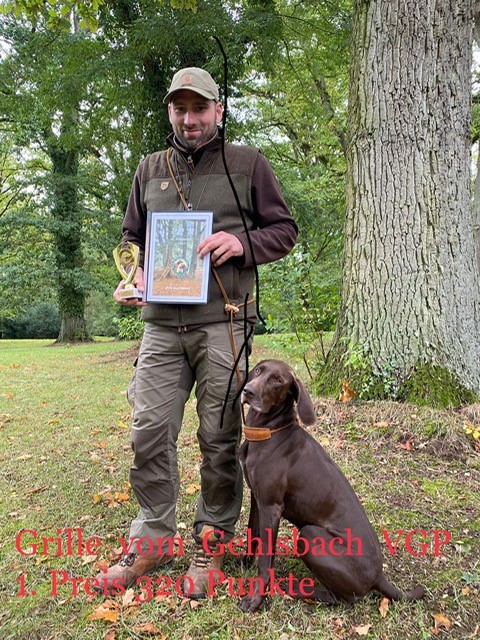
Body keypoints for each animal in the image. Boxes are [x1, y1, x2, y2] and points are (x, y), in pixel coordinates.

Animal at [238, 359, 424, 612]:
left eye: (278, 380)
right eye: (258, 370)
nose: (248, 391)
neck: (268, 432)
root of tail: (378, 577)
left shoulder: (271, 505)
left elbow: (266, 561)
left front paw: (255, 600)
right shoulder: (257, 499)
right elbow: (253, 535)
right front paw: (244, 563)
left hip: (310, 535)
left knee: (347, 599)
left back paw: (299, 590)